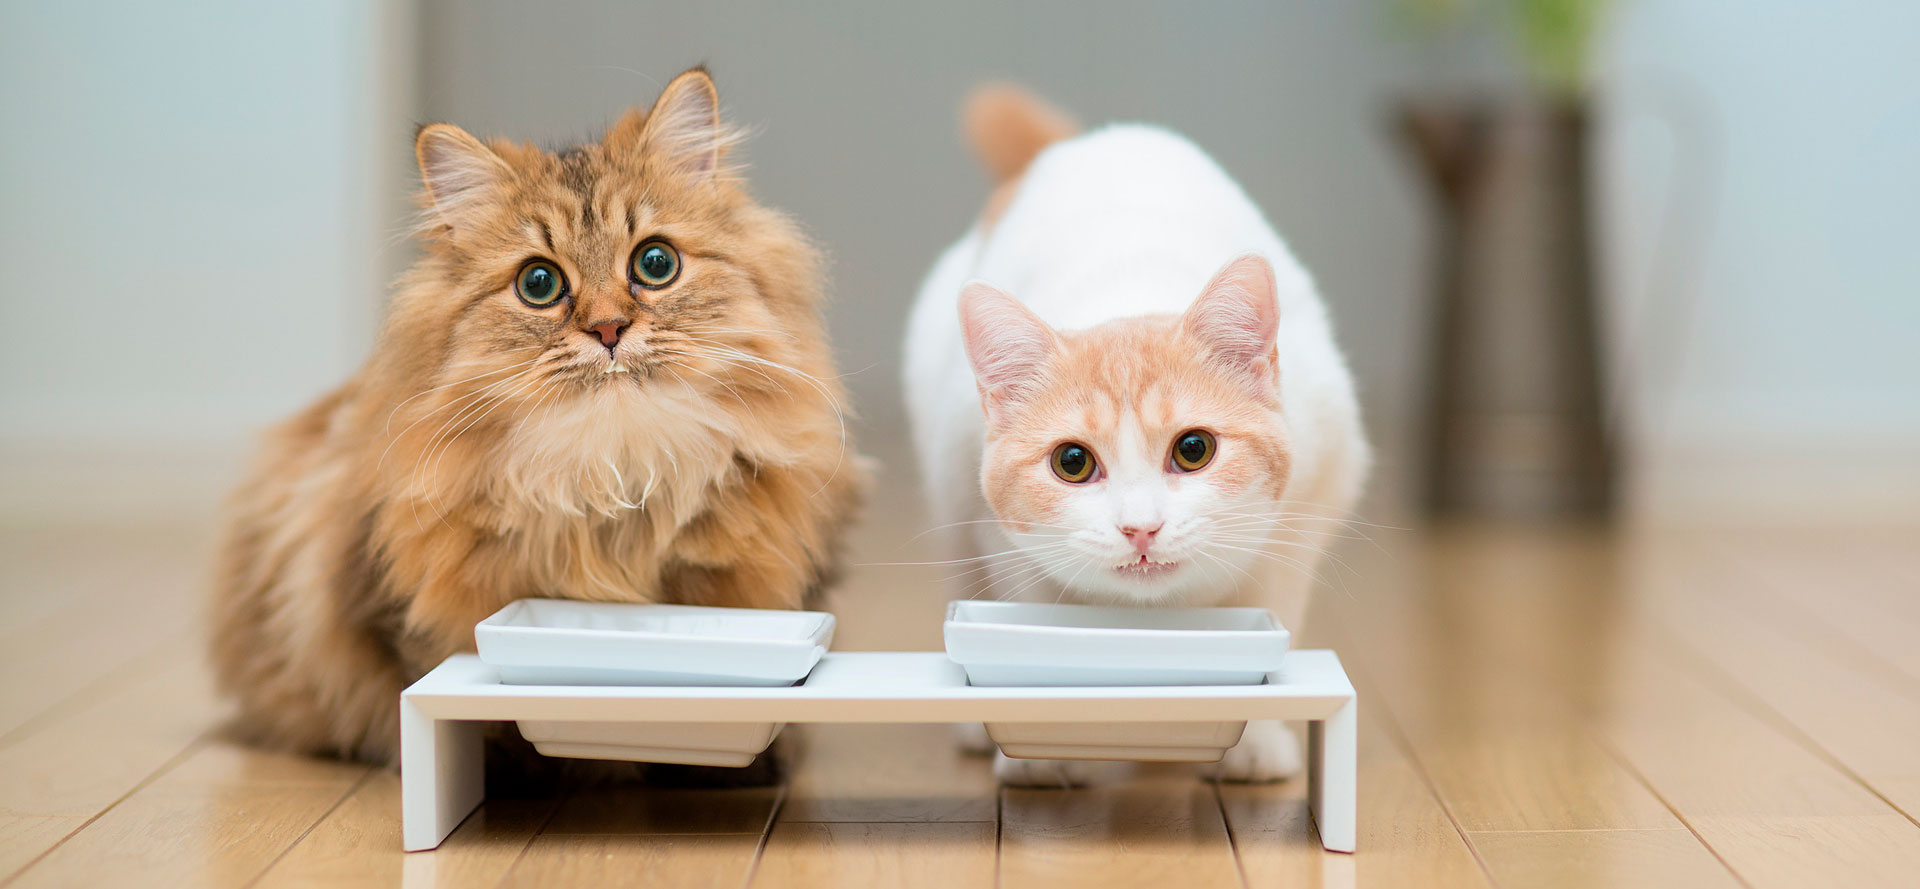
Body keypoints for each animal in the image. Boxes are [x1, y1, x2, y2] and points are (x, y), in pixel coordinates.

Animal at [898, 86, 1367, 787]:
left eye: (1194, 450)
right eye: (1071, 461)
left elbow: (1268, 616)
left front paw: (1255, 736)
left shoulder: (1312, 497)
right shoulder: (995, 531)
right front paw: (1040, 748)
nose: (1140, 528)